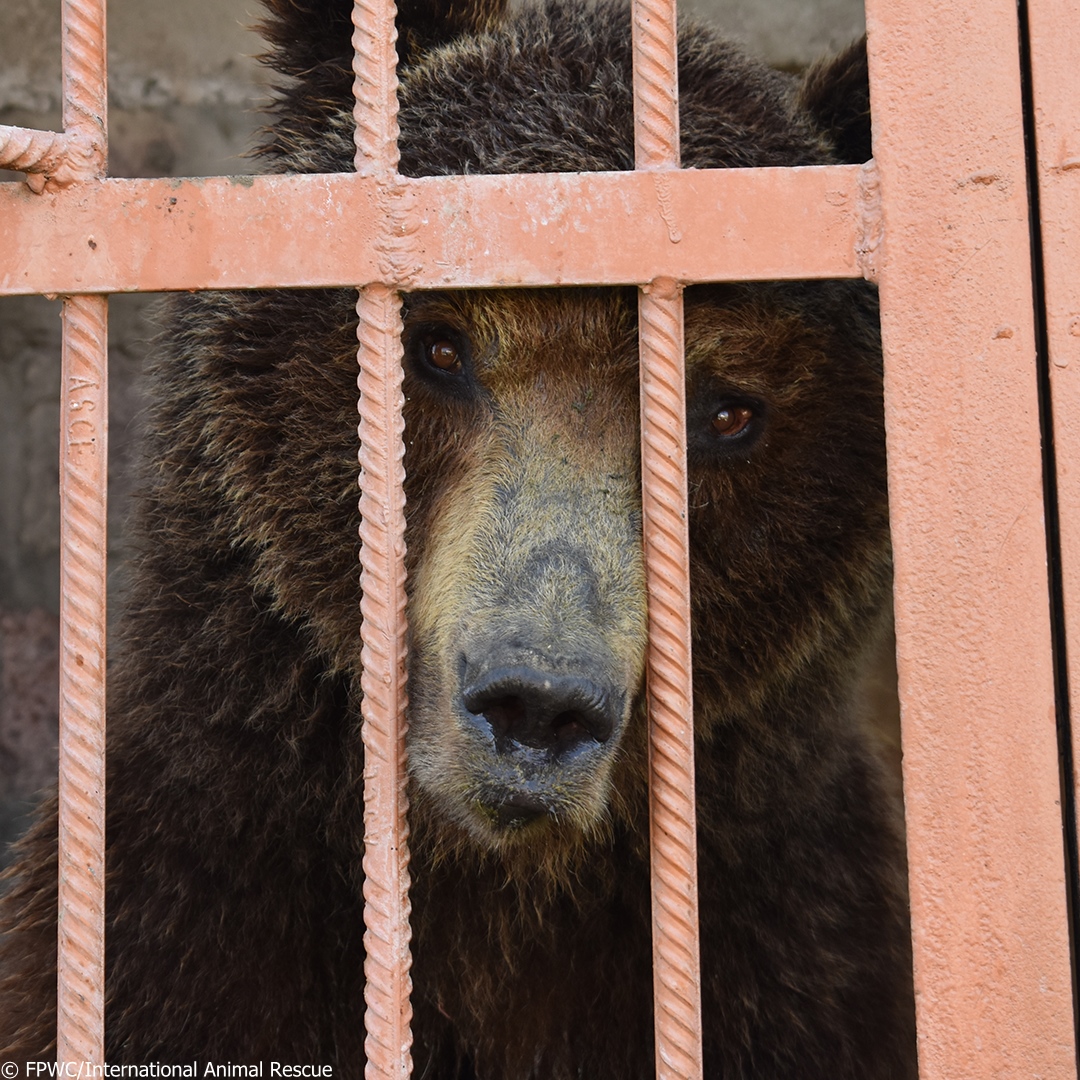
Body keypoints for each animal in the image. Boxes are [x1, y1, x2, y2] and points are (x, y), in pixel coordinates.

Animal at [0, 0, 916, 1076]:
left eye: (729, 412)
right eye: (439, 346)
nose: (538, 704)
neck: (491, 892)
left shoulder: (798, 965)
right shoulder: (183, 922)